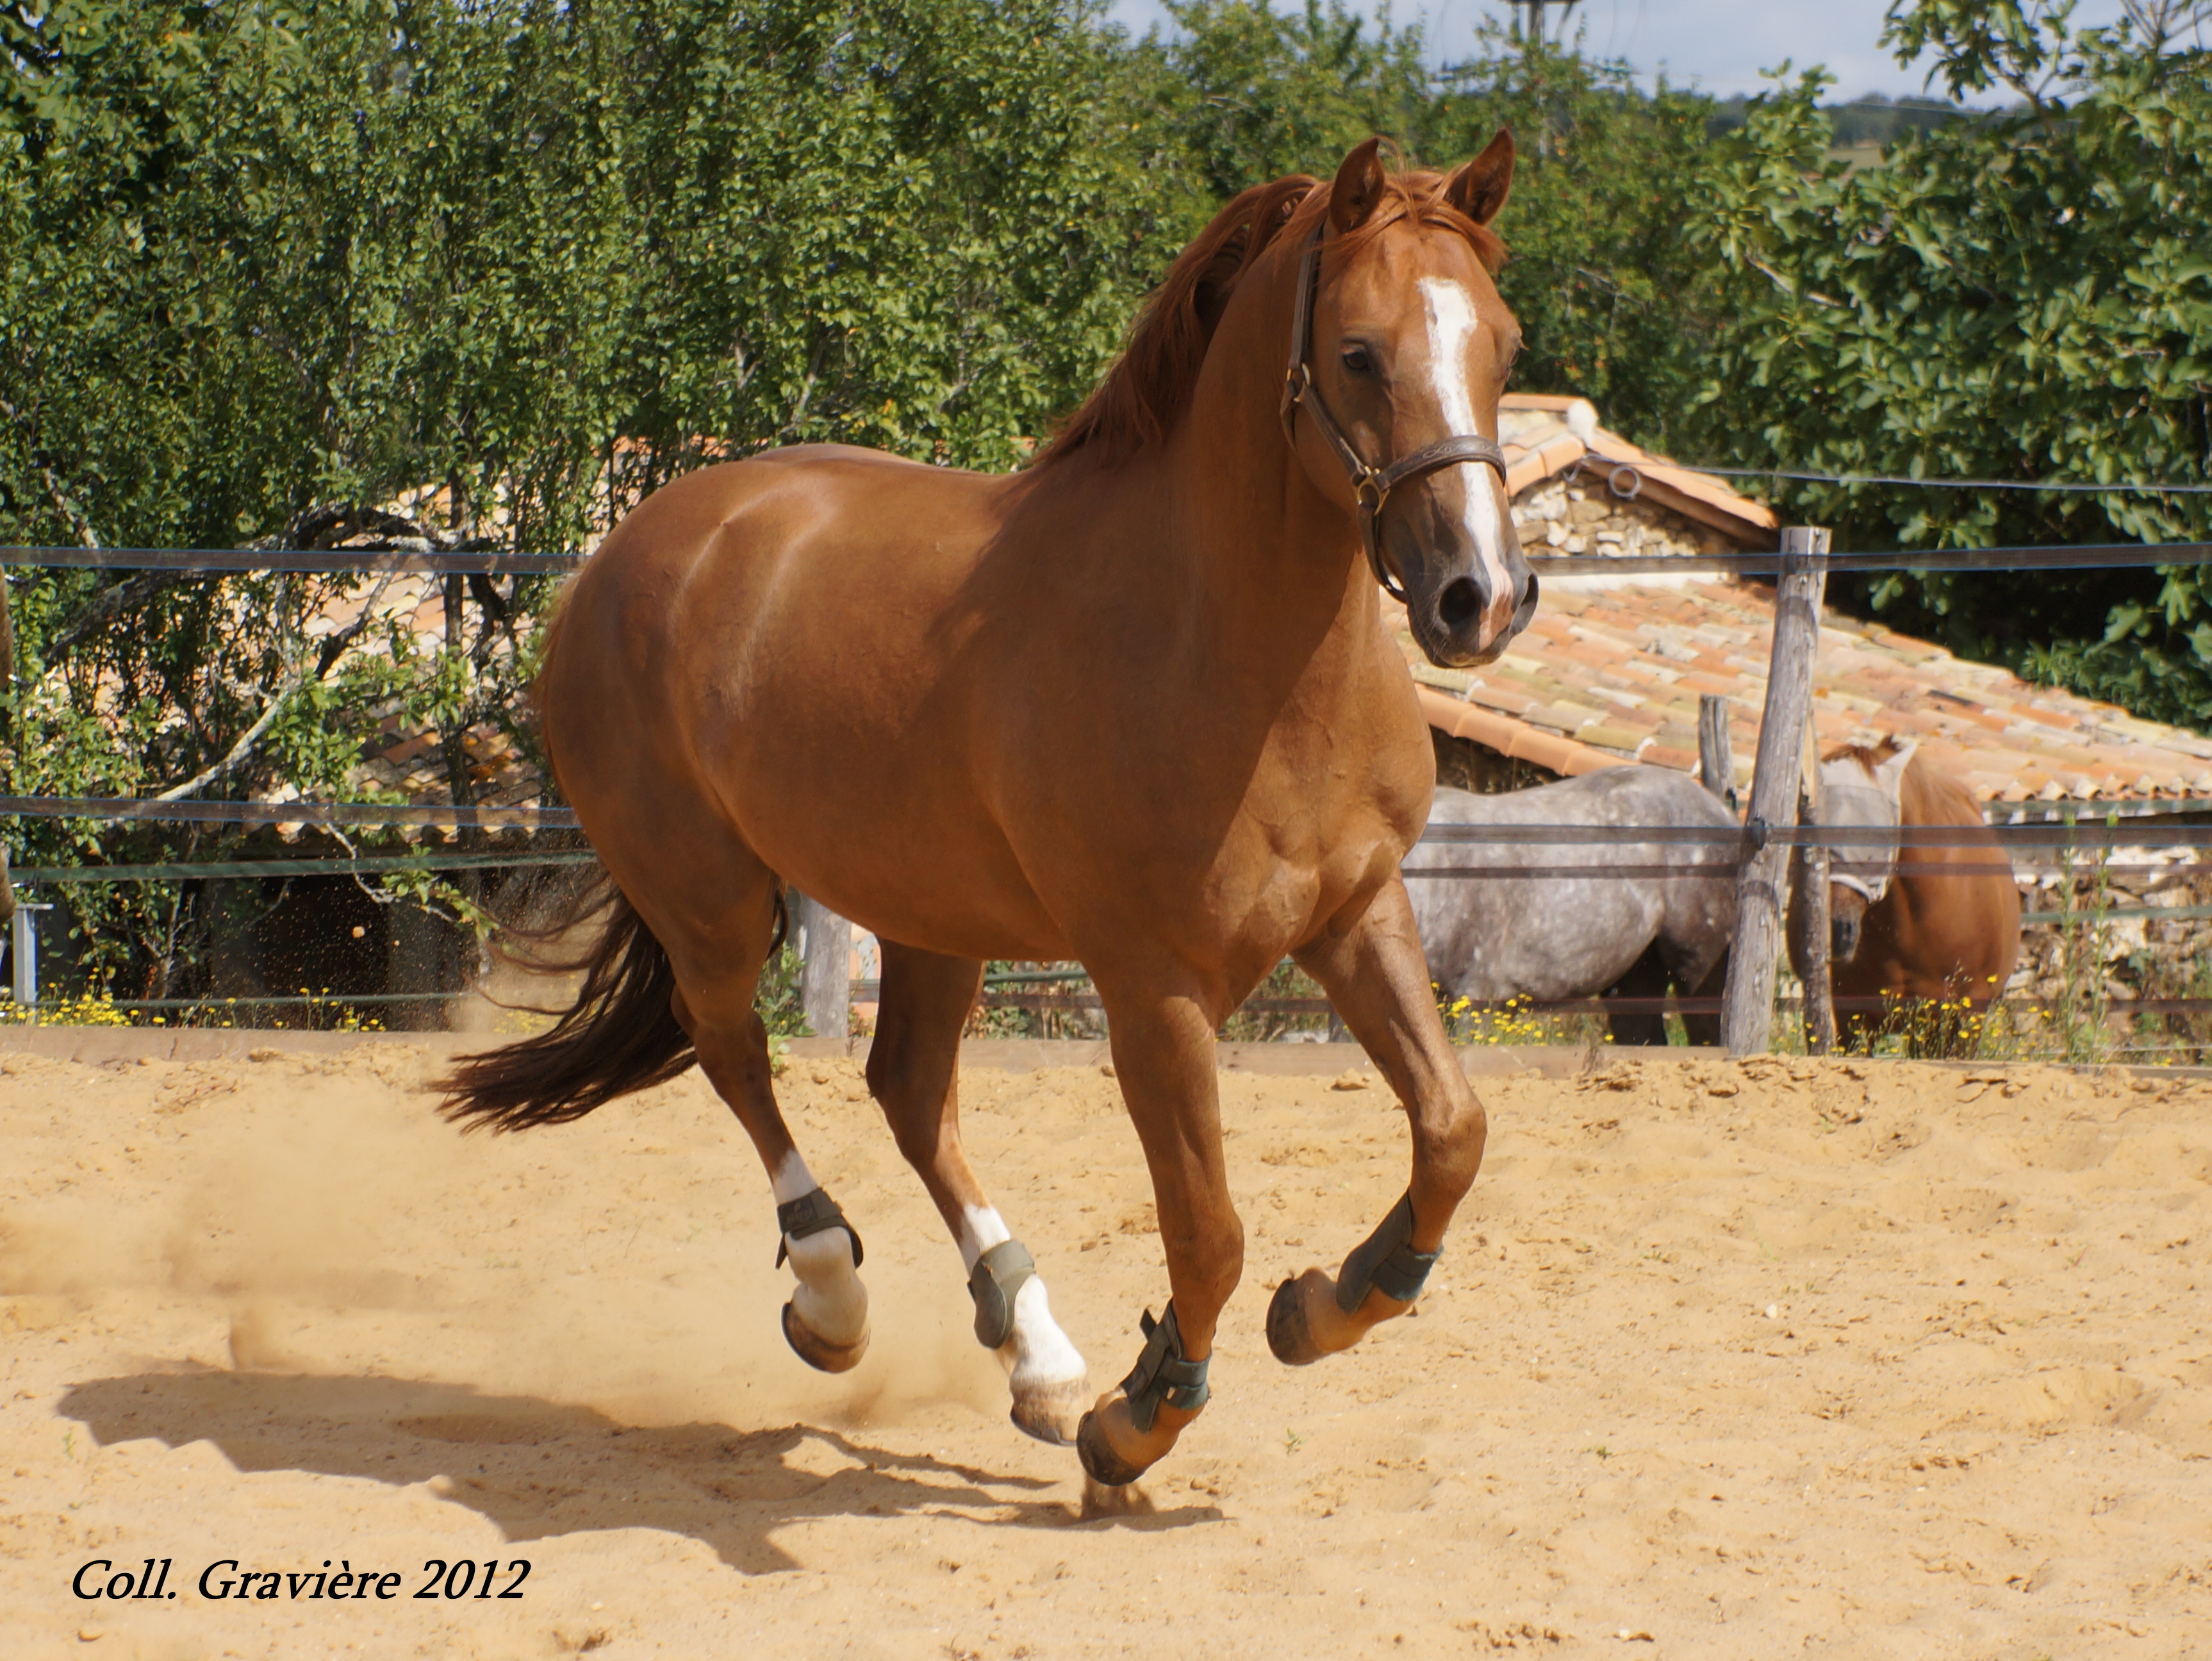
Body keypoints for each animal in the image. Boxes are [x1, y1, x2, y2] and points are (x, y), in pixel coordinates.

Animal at [433, 136, 1539, 1486]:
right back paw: (837, 1298)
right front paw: (1141, 1415)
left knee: (908, 1092)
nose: (1478, 598)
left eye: (1504, 346)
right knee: (734, 1050)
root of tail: (622, 554)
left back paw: (1039, 1355)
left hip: (927, 913)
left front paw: (1329, 1301)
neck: (1222, 649)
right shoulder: (1150, 986)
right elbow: (1208, 1228)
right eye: (1360, 353)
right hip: (707, 892)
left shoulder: (1355, 914)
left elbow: (1451, 1130)